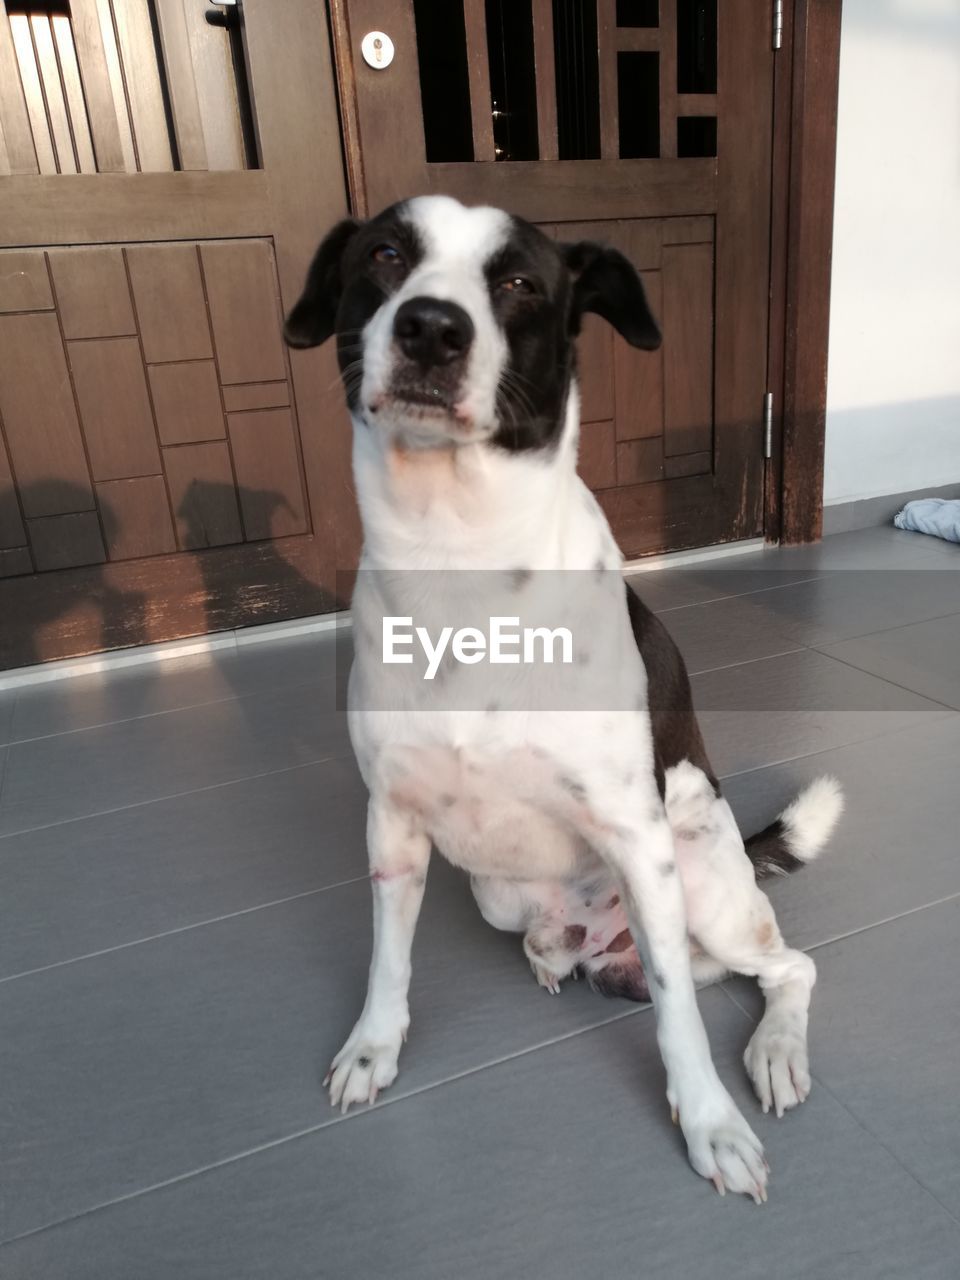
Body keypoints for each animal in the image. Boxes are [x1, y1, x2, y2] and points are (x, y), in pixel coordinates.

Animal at [284, 197, 839, 1198]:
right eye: (384, 254)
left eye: (519, 282)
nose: (432, 327)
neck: (457, 555)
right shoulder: (392, 823)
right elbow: (388, 959)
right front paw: (374, 1048)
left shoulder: (635, 836)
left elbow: (678, 1020)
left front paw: (710, 1126)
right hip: (499, 896)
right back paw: (554, 957)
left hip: (700, 887)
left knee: (779, 968)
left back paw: (774, 1052)